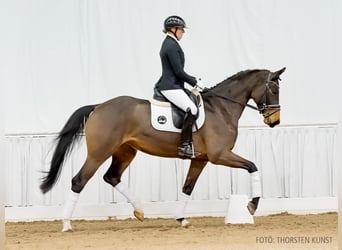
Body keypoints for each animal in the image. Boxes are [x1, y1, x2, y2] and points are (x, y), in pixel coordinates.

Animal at [39, 66, 286, 230]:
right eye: (274, 90)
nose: (275, 121)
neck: (221, 108)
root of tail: (98, 106)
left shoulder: (201, 159)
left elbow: (187, 187)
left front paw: (181, 219)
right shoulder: (220, 155)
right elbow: (253, 166)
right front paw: (252, 205)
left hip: (125, 151)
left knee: (111, 177)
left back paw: (140, 210)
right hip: (99, 152)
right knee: (79, 181)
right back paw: (67, 224)